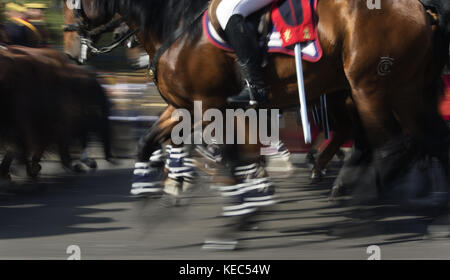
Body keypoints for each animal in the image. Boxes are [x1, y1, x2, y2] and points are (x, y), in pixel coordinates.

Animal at [64, 0, 450, 244]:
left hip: (370, 87)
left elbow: (231, 157)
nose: (71, 49)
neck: (179, 24)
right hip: (403, 91)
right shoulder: (185, 107)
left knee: (391, 146)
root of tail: (421, 8)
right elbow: (149, 143)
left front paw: (239, 215)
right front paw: (153, 196)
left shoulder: (211, 107)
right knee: (427, 140)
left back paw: (356, 205)